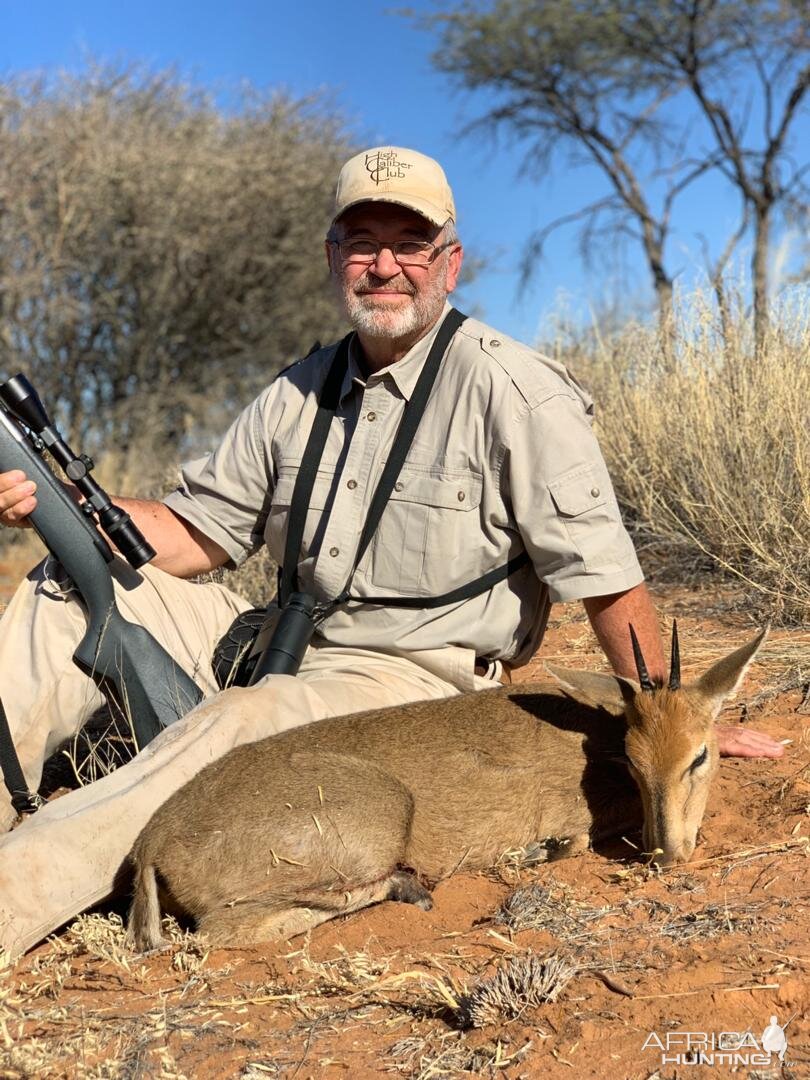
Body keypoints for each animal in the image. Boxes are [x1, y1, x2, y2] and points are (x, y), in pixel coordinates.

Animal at [128, 622, 768, 950]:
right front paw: (538, 851)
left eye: (698, 755)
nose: (669, 853)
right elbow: (577, 840)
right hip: (380, 818)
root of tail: (153, 840)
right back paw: (413, 887)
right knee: (221, 933)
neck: (595, 740)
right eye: (635, 763)